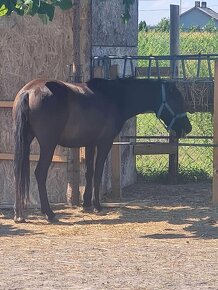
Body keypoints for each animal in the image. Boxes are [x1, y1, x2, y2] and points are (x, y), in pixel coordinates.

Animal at [12, 77, 192, 222]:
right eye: (176, 99)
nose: (188, 128)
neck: (113, 97)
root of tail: (29, 91)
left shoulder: (90, 143)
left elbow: (89, 173)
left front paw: (86, 204)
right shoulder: (105, 143)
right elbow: (98, 172)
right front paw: (97, 205)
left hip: (25, 140)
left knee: (18, 171)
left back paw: (19, 214)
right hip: (48, 144)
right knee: (40, 173)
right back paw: (48, 213)